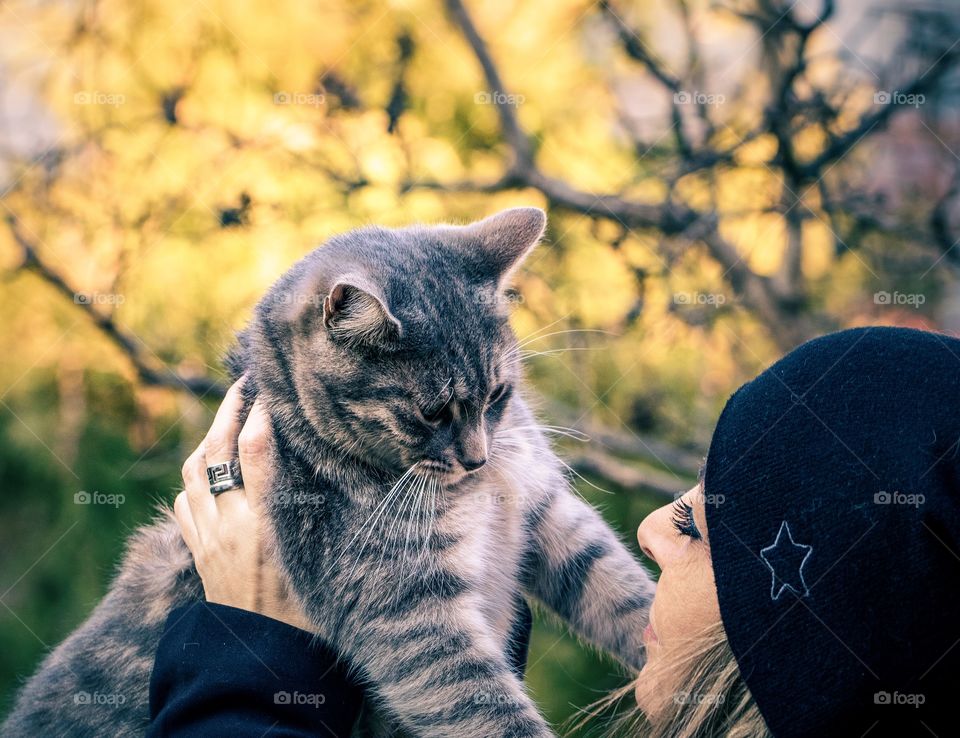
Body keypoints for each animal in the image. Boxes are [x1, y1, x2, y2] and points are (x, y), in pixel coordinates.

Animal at [0, 207, 656, 736]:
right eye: (432, 412)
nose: (478, 457)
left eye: (499, 394)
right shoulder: (413, 618)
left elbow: (627, 597)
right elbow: (489, 712)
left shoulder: (552, 514)